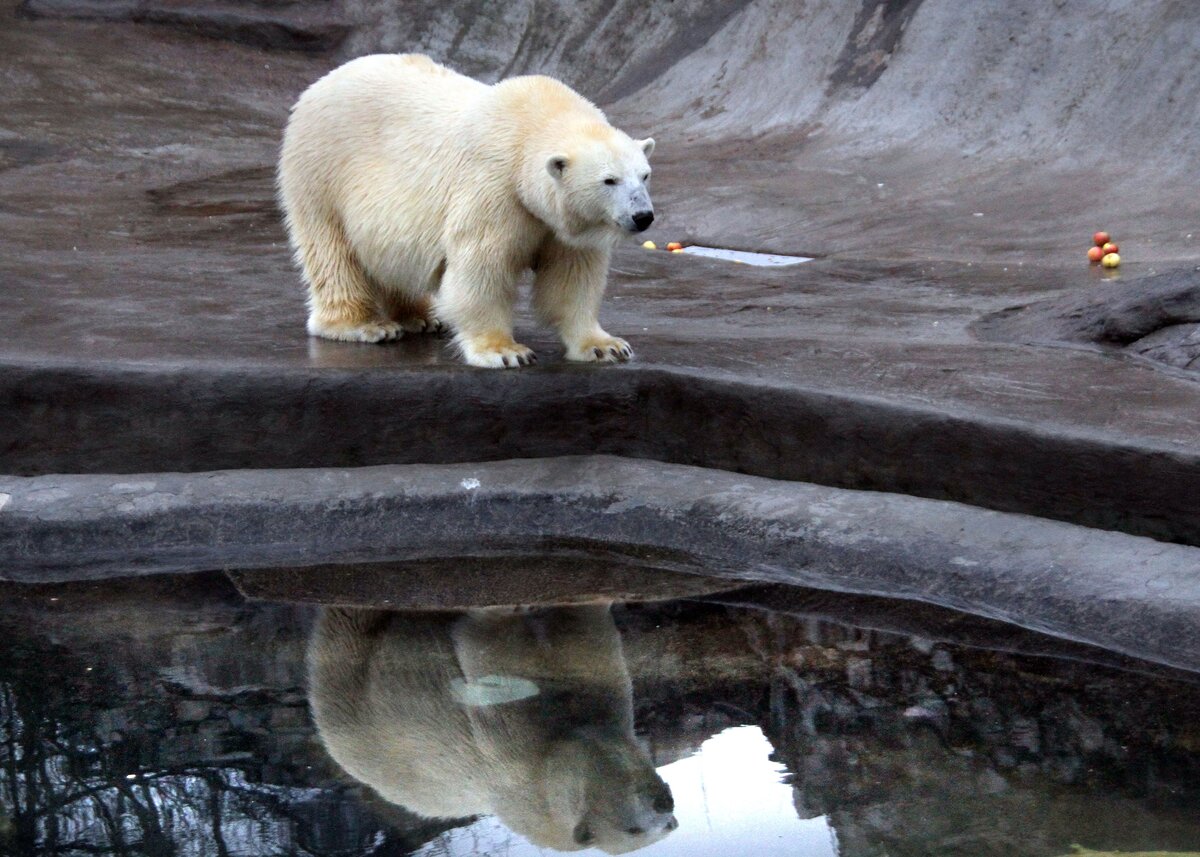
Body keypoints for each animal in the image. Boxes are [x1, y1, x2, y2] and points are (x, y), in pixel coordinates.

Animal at [278, 53, 657, 367]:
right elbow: (482, 268)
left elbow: (571, 277)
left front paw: (606, 346)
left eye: (644, 175)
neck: (530, 124)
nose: (643, 216)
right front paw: (504, 351)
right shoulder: (495, 187)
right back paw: (365, 325)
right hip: (321, 173)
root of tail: (320, 83)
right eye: (609, 180)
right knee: (333, 254)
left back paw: (422, 316)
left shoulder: (561, 225)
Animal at [307, 604, 676, 849]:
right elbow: (488, 646)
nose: (664, 803)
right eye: (633, 830)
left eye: (668, 825)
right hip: (354, 677)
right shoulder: (519, 756)